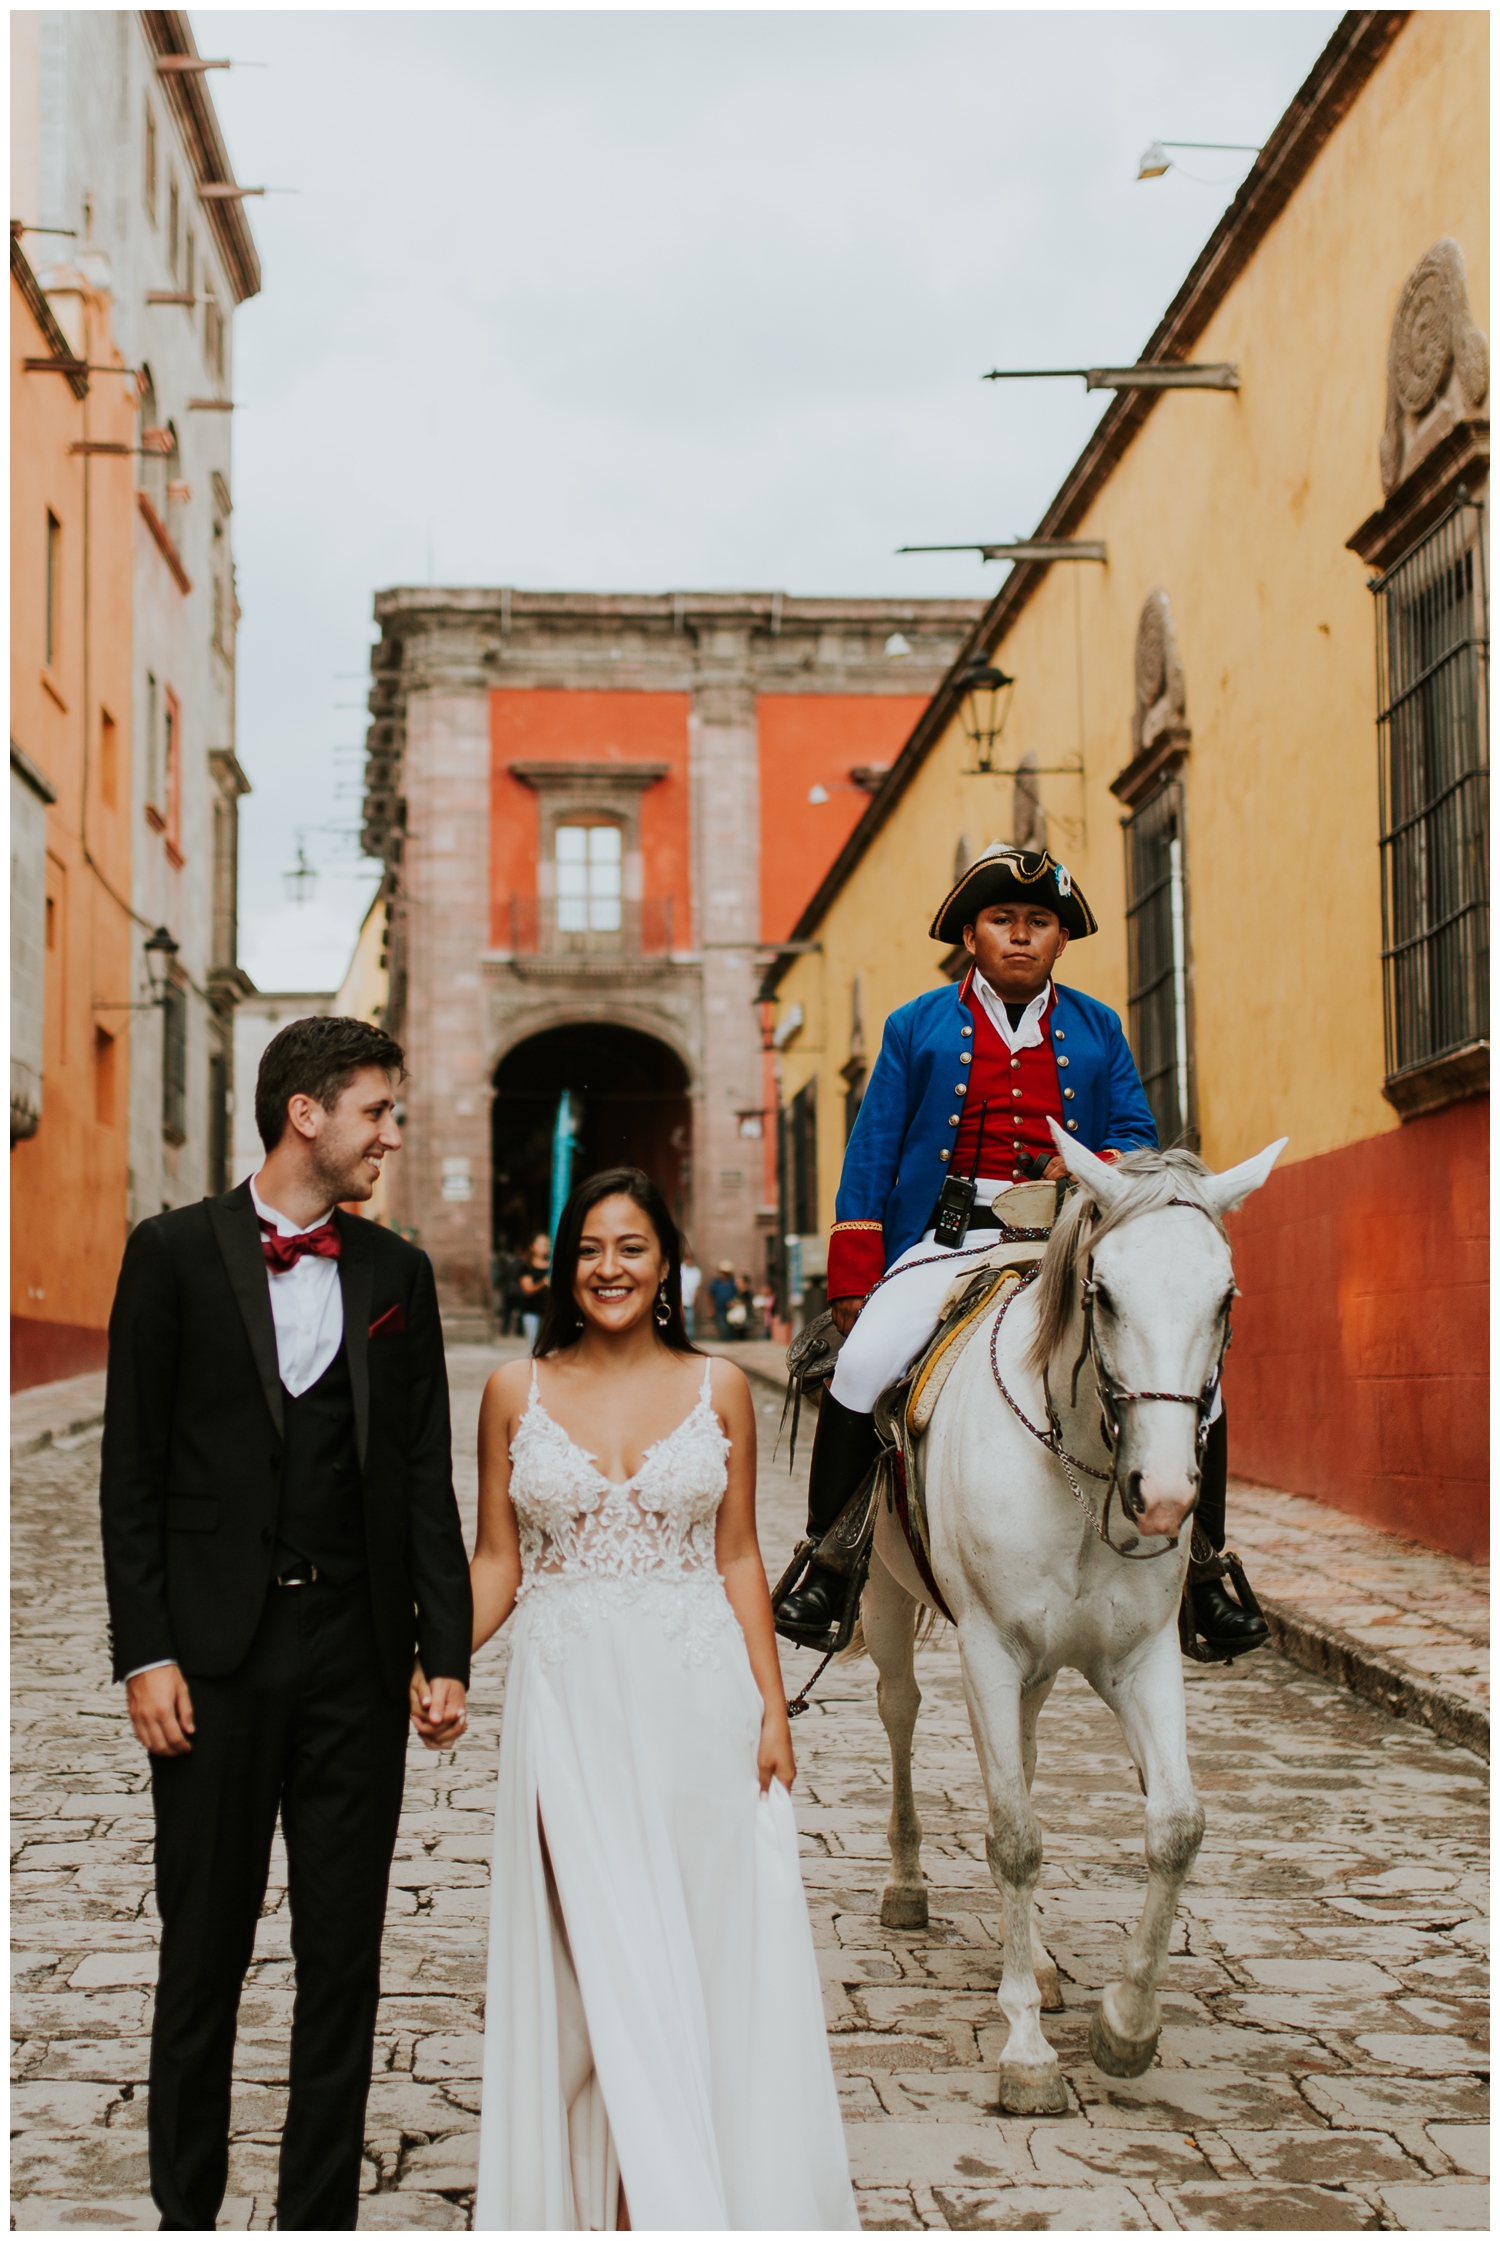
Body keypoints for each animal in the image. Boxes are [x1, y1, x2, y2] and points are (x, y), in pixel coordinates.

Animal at [860, 1120, 1282, 2115]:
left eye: (1225, 1296)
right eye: (1105, 1291)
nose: (1163, 1497)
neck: (1084, 1463)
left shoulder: (1140, 1658)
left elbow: (1176, 1826)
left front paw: (1126, 2024)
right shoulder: (985, 1647)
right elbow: (1015, 1836)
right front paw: (1025, 2051)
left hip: (1041, 1667)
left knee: (1021, 1757)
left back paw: (1046, 1963)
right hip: (891, 1604)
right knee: (903, 1716)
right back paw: (909, 1883)